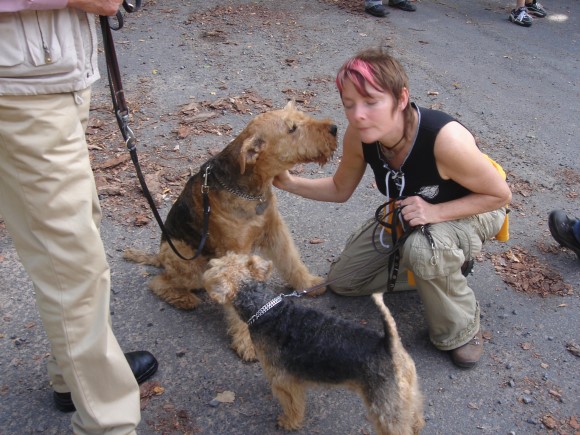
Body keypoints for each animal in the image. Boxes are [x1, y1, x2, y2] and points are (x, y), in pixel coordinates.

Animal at [124, 102, 338, 350]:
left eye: (301, 116)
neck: (251, 190)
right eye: (292, 128)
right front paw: (247, 343)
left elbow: (291, 261)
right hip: (192, 266)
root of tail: (160, 255)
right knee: (158, 282)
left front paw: (309, 283)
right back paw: (184, 299)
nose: (334, 128)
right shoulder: (234, 252)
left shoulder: (275, 231)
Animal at [202, 252, 424, 435]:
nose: (208, 262)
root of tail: (389, 344)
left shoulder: (284, 381)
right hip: (407, 393)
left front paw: (288, 422)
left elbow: (293, 406)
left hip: (385, 407)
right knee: (415, 416)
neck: (265, 310)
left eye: (218, 267)